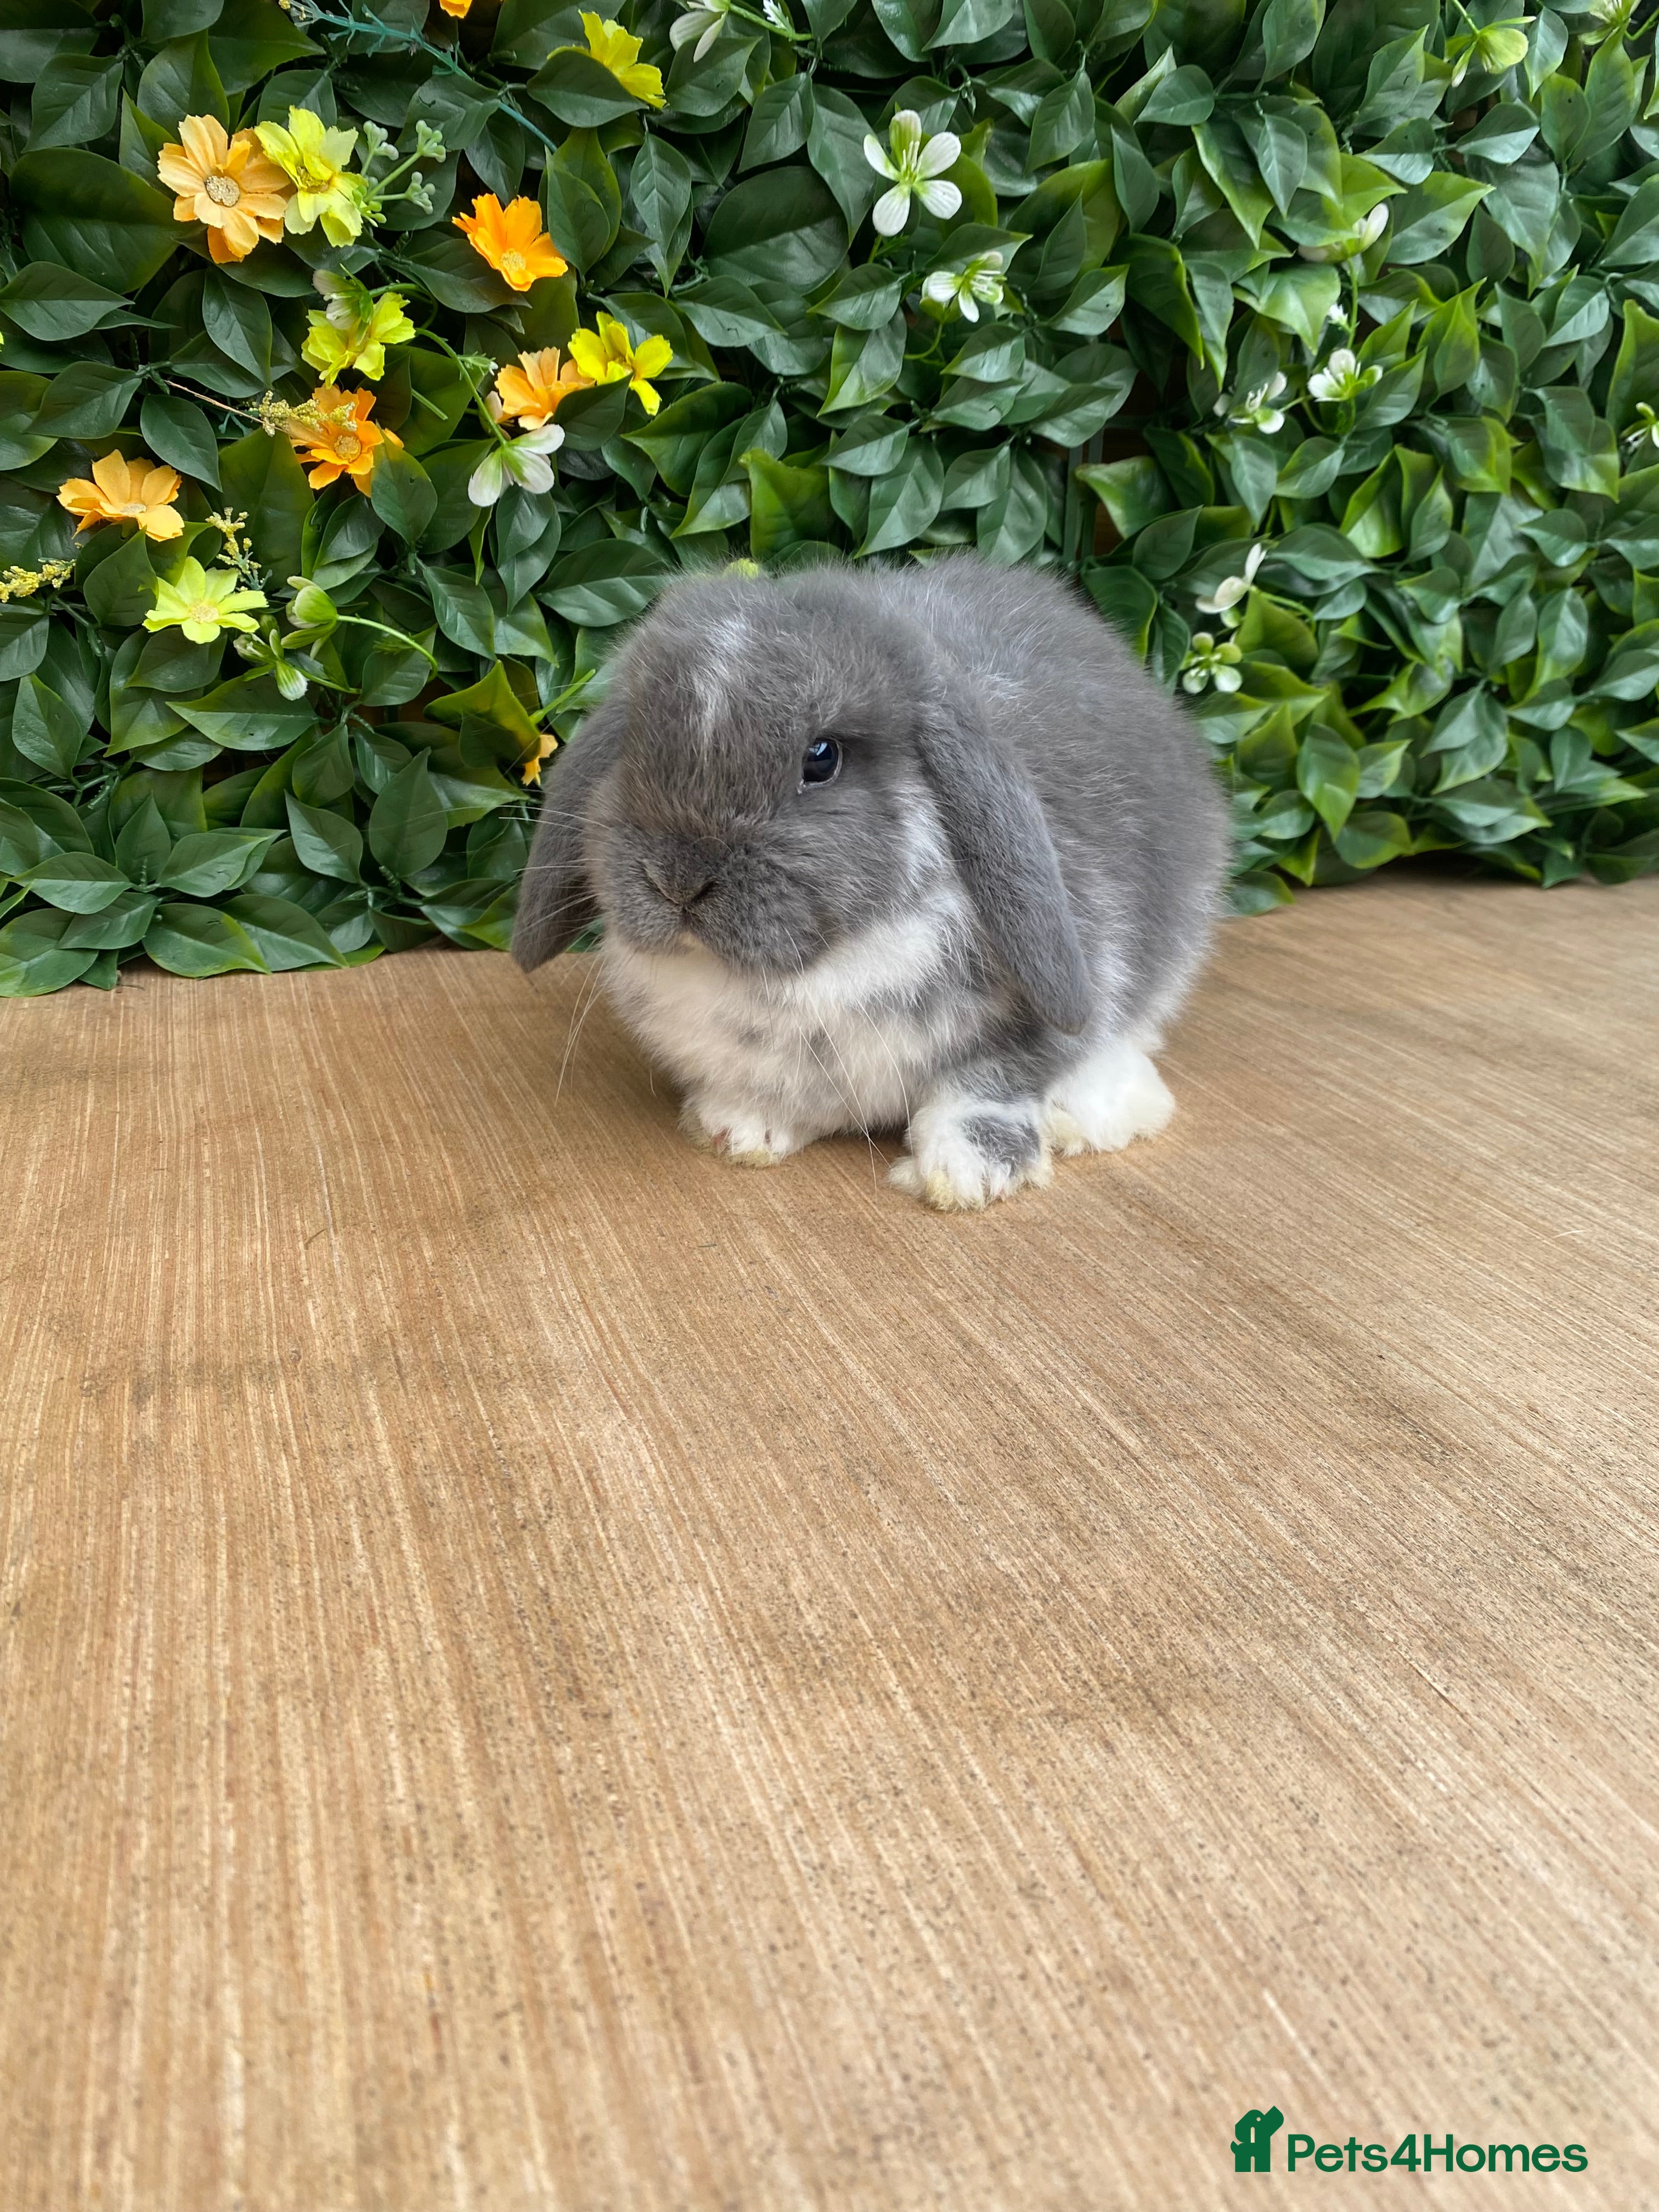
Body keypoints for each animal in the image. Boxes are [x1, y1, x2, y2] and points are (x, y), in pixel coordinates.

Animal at [511, 553, 1229, 1210]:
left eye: (821, 758)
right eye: (635, 741)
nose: (676, 880)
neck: (818, 970)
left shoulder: (1056, 992)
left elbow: (994, 1079)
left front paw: (966, 1174)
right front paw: (739, 1131)